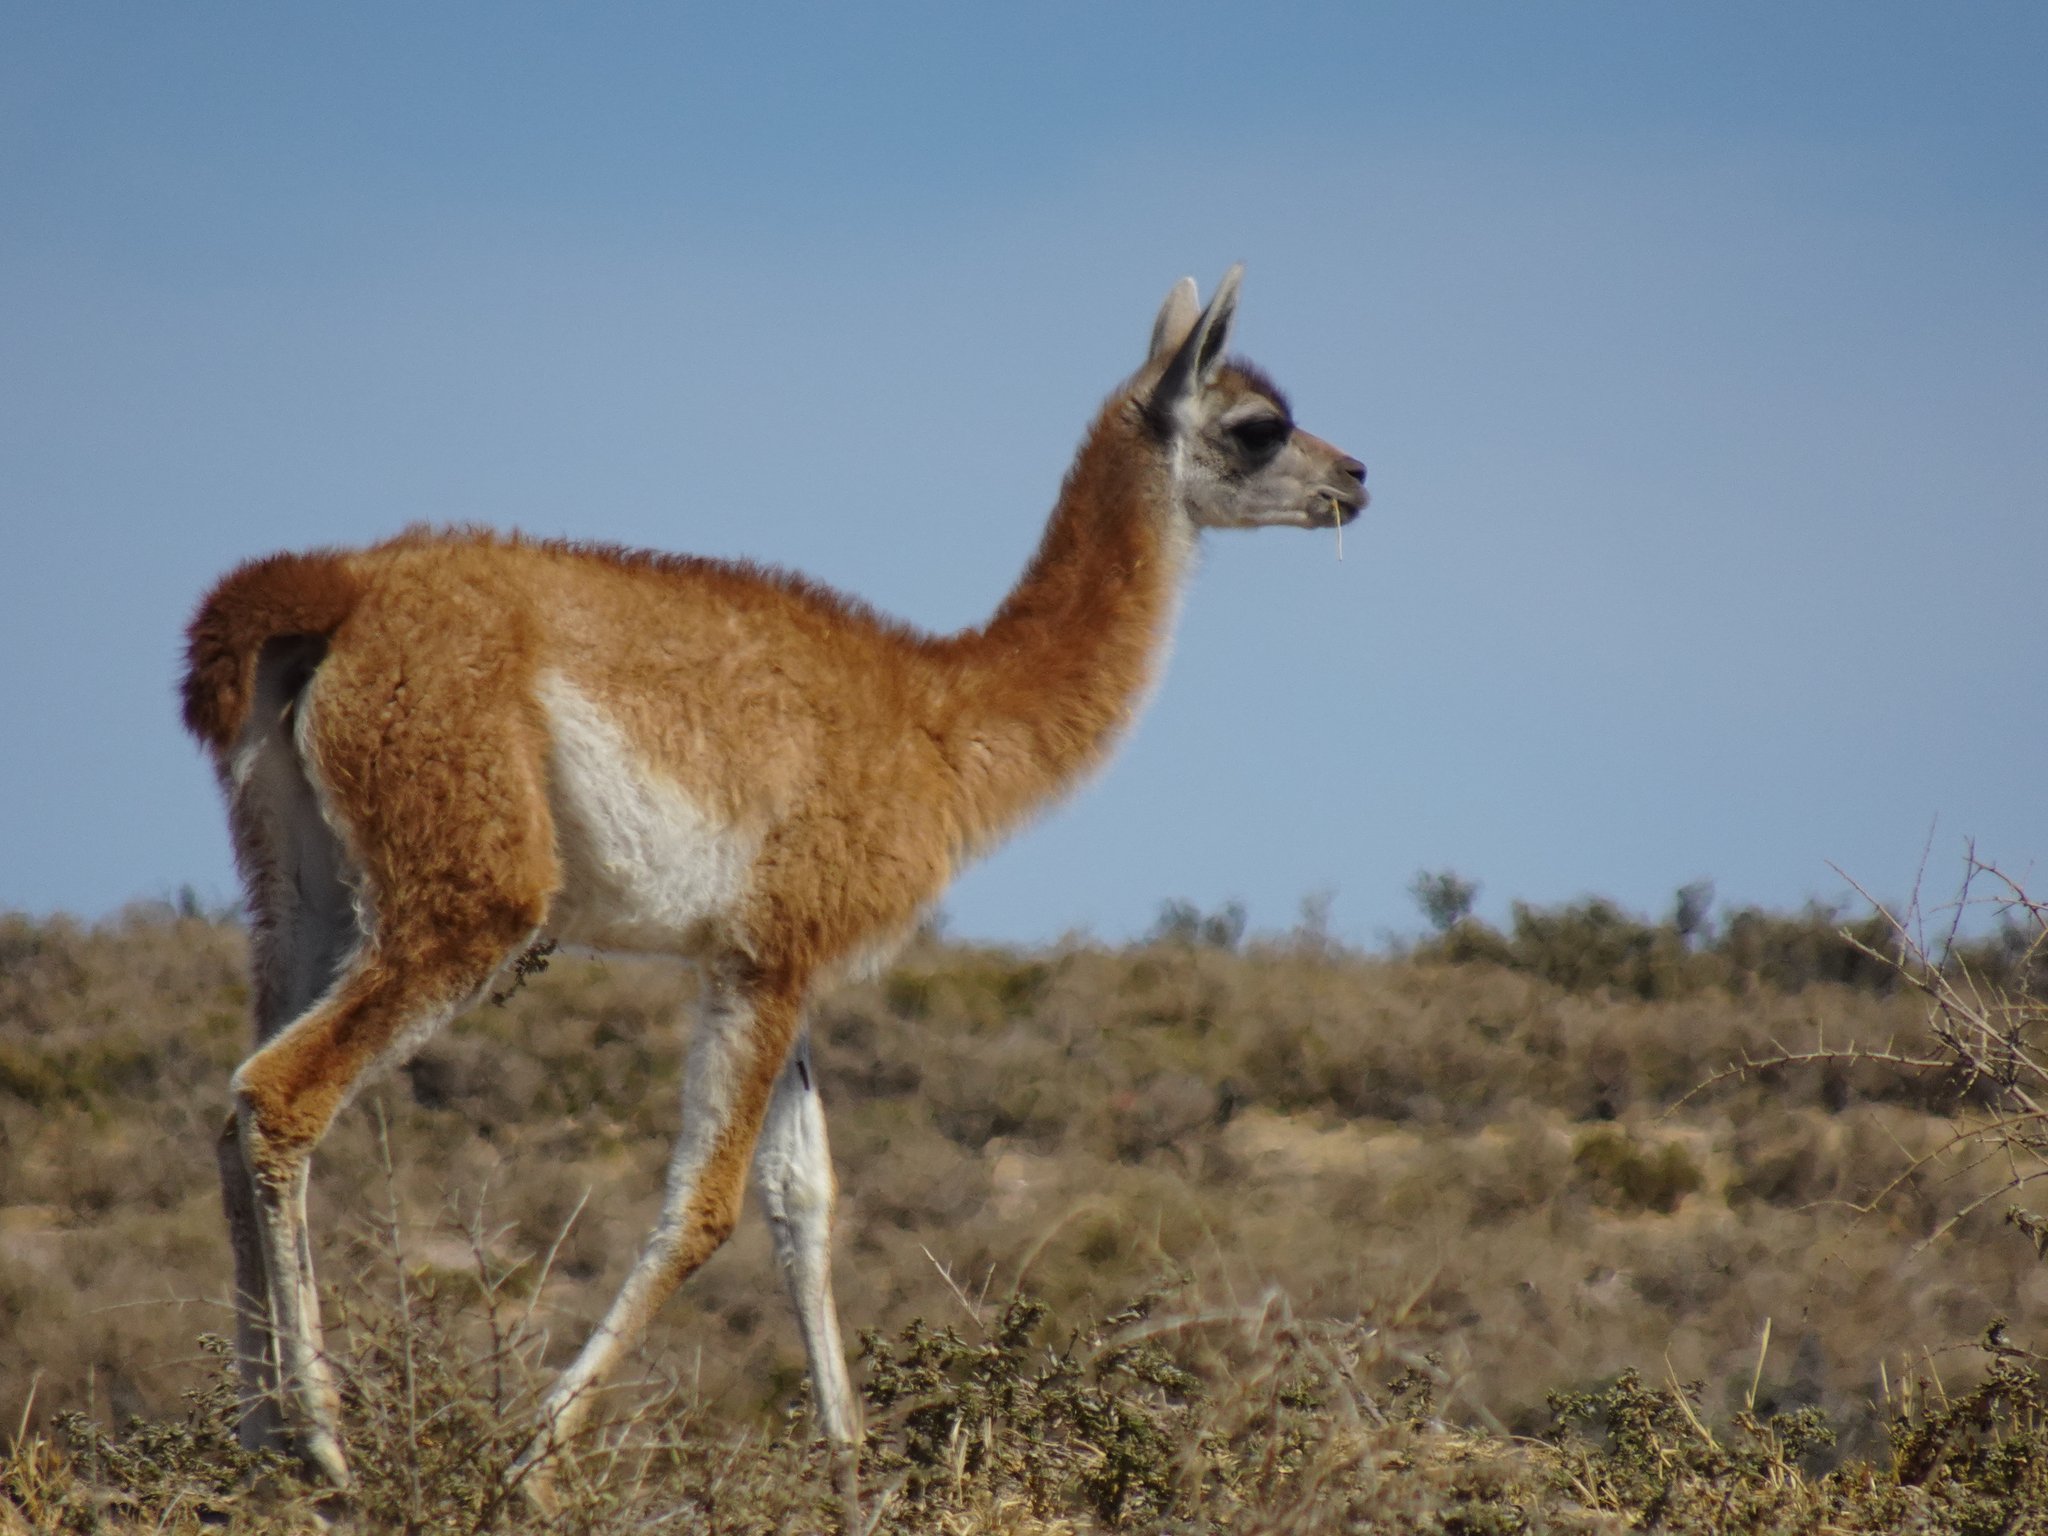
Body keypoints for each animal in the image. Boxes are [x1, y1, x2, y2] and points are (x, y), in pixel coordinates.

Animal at [181, 266, 1367, 1511]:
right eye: (1259, 425)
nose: (1354, 478)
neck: (942, 717)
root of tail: (334, 593)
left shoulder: (771, 956)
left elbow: (806, 1201)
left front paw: (849, 1470)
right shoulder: (773, 951)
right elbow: (703, 1210)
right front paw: (534, 1462)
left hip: (304, 882)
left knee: (232, 1110)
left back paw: (255, 1448)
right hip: (468, 884)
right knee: (284, 1092)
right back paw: (325, 1451)